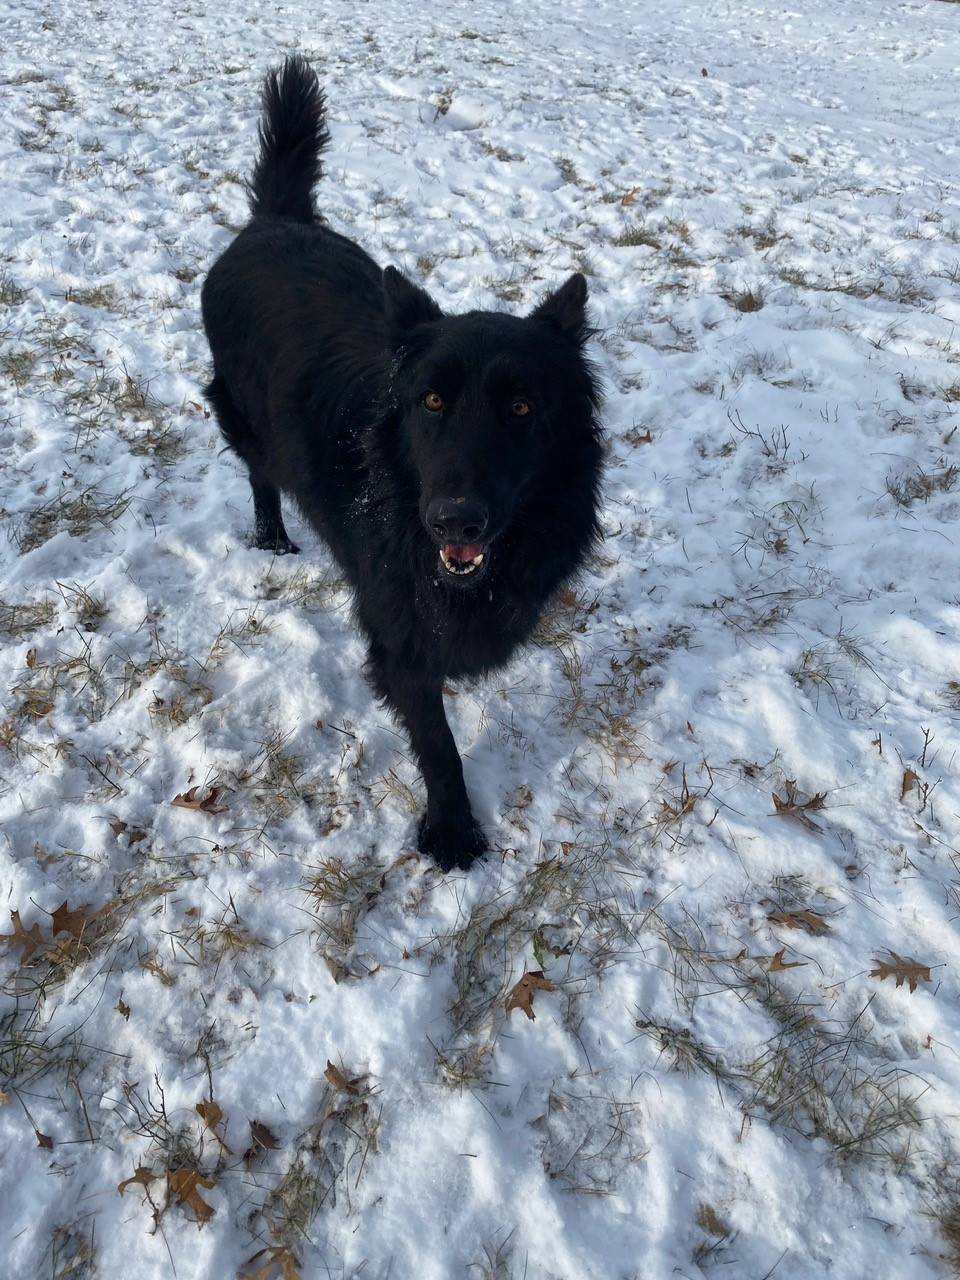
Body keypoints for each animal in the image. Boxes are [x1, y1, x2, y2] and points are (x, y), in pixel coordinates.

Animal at [202, 55, 604, 865]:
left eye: (522, 409)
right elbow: (439, 742)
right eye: (431, 401)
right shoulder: (397, 629)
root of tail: (271, 222)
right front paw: (453, 830)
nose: (456, 520)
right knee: (260, 475)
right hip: (243, 418)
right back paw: (272, 538)